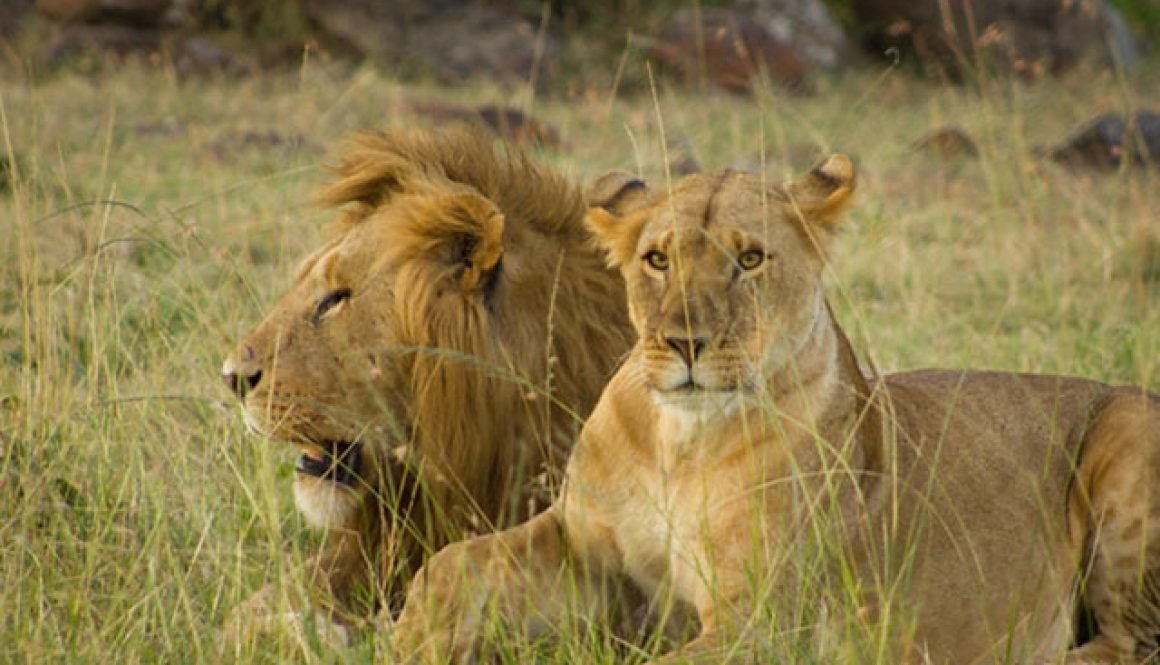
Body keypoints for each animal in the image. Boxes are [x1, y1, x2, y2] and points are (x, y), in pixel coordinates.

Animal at [389, 156, 1160, 663]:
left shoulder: (763, 622)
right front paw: (409, 636)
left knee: (1127, 645)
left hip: (1127, 437)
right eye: (657, 259)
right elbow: (451, 565)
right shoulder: (585, 550)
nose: (685, 342)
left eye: (751, 259)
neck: (681, 443)